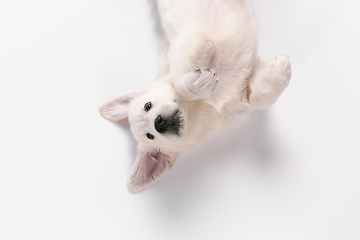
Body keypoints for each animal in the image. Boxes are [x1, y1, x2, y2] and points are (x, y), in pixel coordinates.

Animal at [100, 0, 292, 194]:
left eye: (148, 105)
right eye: (150, 136)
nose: (159, 123)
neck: (203, 105)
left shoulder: (182, 47)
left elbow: (182, 76)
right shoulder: (240, 102)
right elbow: (257, 100)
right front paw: (279, 70)